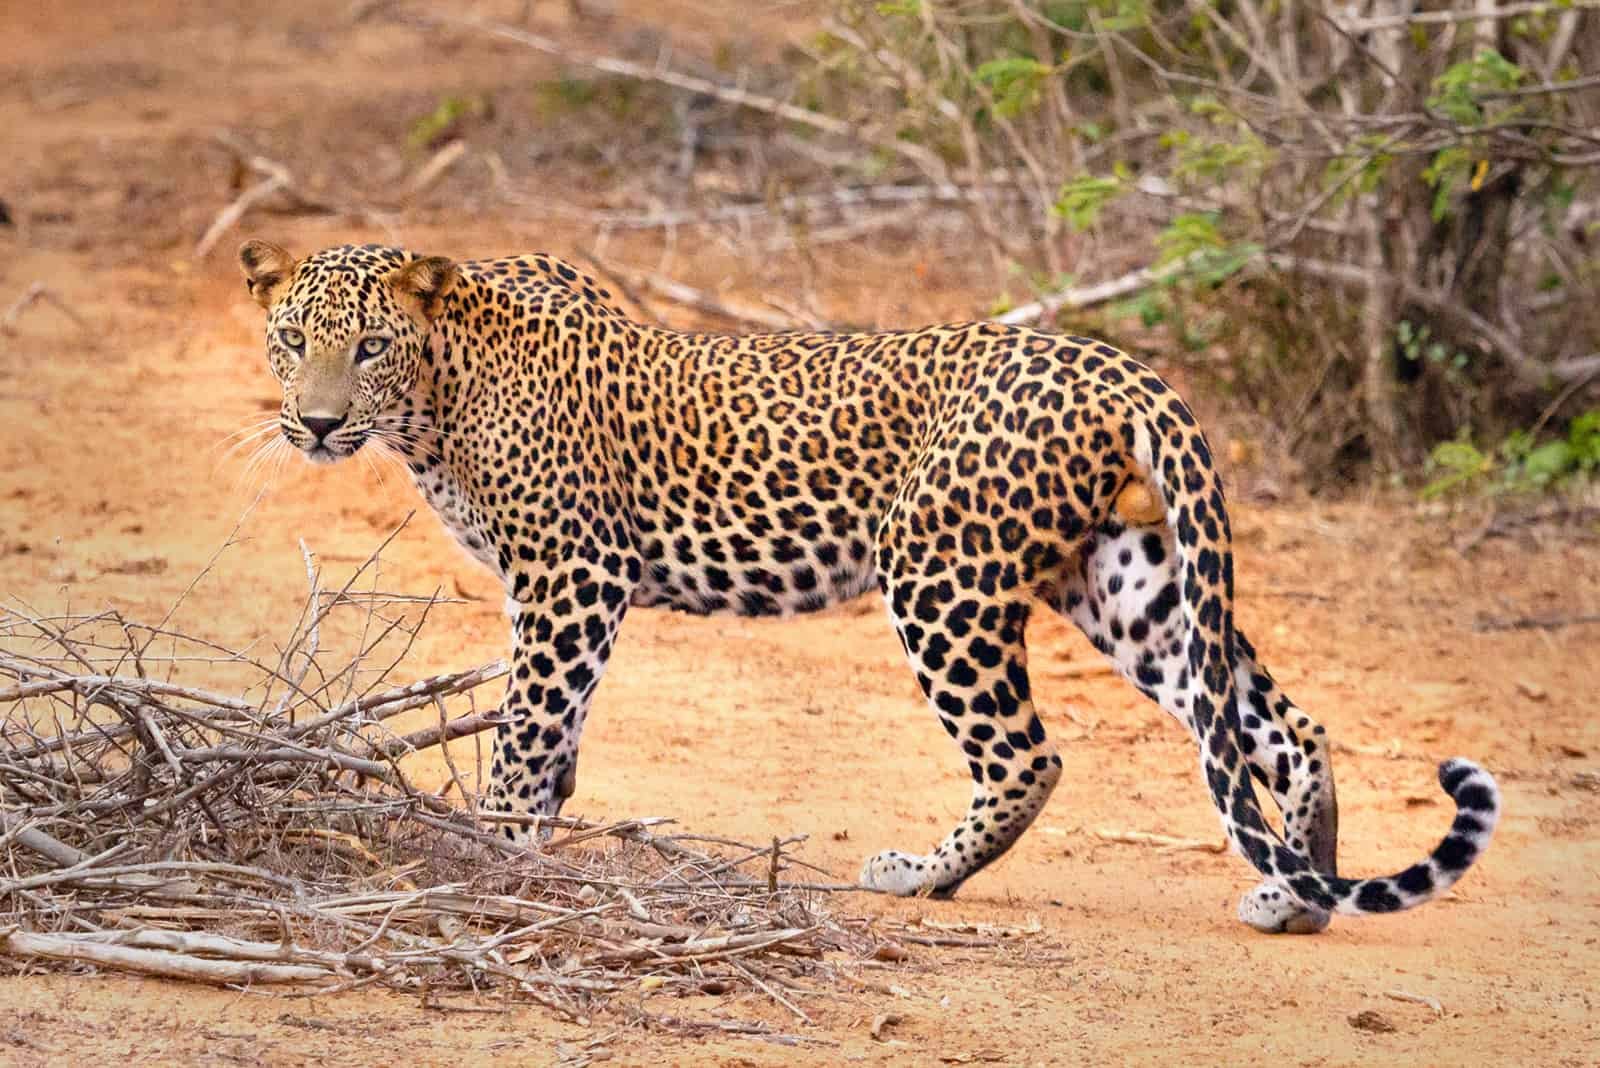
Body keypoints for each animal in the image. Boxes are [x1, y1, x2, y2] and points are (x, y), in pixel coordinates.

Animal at [238, 239, 1501, 934]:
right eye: (291, 339)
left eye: (369, 348)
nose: (316, 423)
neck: (437, 399)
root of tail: (1118, 365)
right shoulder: (562, 589)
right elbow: (556, 733)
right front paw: (534, 839)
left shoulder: (571, 573)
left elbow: (528, 723)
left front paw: (491, 850)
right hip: (1127, 582)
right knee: (1274, 727)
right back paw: (1299, 893)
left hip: (938, 572)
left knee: (1029, 755)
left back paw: (917, 878)